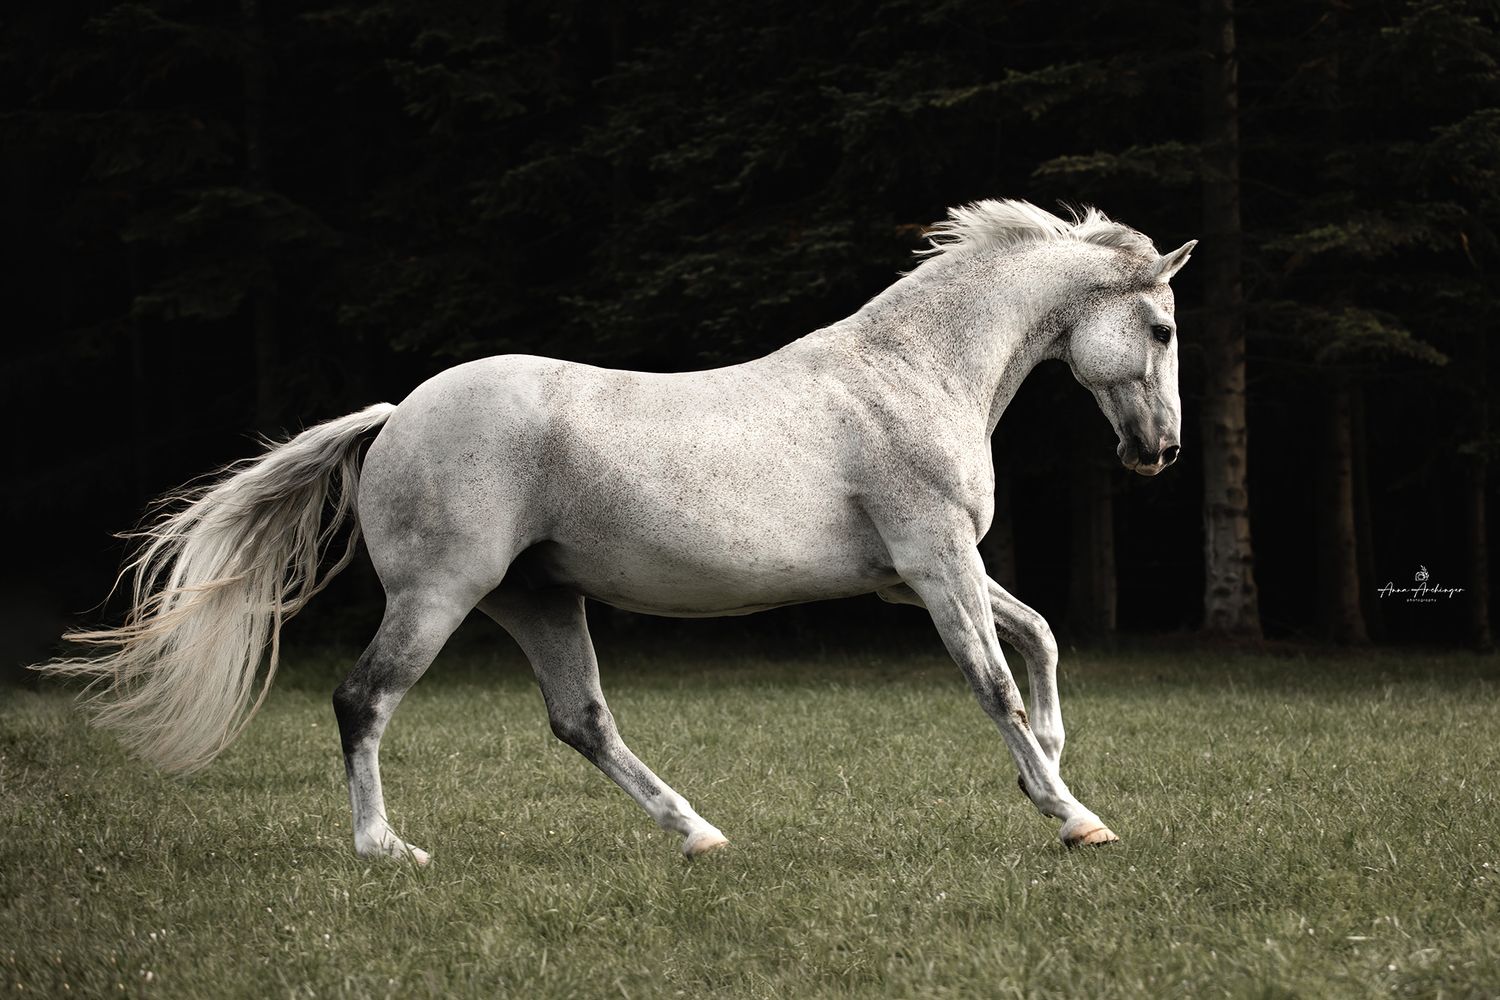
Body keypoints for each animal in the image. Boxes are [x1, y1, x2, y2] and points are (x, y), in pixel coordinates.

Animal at [37, 199, 1193, 864]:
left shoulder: (912, 572)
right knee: (363, 700)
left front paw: (1046, 769)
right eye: (1163, 325)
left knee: (582, 721)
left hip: (540, 599)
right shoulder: (935, 560)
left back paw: (700, 835)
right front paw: (1074, 815)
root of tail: (396, 412)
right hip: (440, 597)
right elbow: (996, 679)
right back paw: (386, 851)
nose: (1163, 452)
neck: (909, 373)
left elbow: (1039, 638)